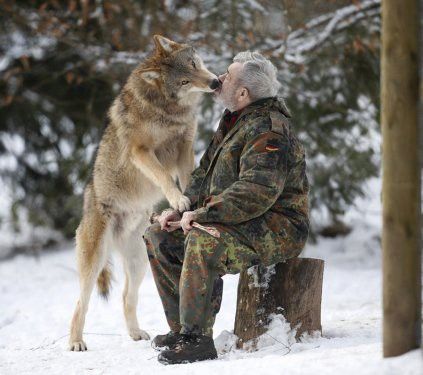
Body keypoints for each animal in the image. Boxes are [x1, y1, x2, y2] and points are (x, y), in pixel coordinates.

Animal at [68, 33, 220, 352]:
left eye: (193, 64)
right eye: (184, 81)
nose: (214, 83)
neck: (168, 110)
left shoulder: (185, 147)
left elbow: (188, 177)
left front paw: (189, 203)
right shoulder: (141, 151)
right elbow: (164, 177)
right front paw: (178, 199)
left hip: (139, 263)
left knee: (127, 296)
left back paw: (136, 334)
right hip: (95, 261)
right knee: (80, 303)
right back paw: (75, 342)